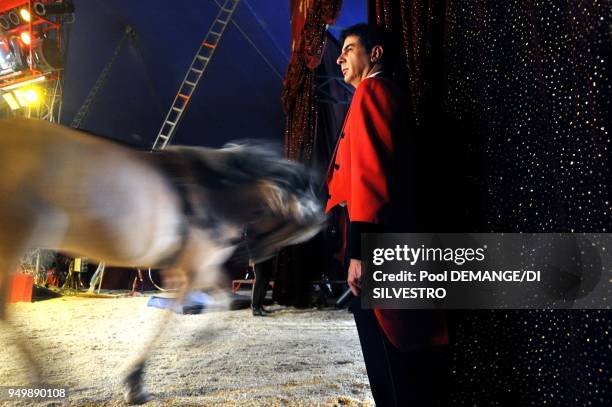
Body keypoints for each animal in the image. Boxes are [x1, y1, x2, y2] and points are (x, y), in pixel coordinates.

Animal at [0, 118, 326, 404]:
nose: (254, 253)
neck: (216, 189)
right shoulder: (190, 270)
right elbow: (171, 317)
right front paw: (135, 381)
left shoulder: (197, 269)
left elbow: (220, 299)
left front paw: (202, 338)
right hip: (17, 231)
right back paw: (43, 376)